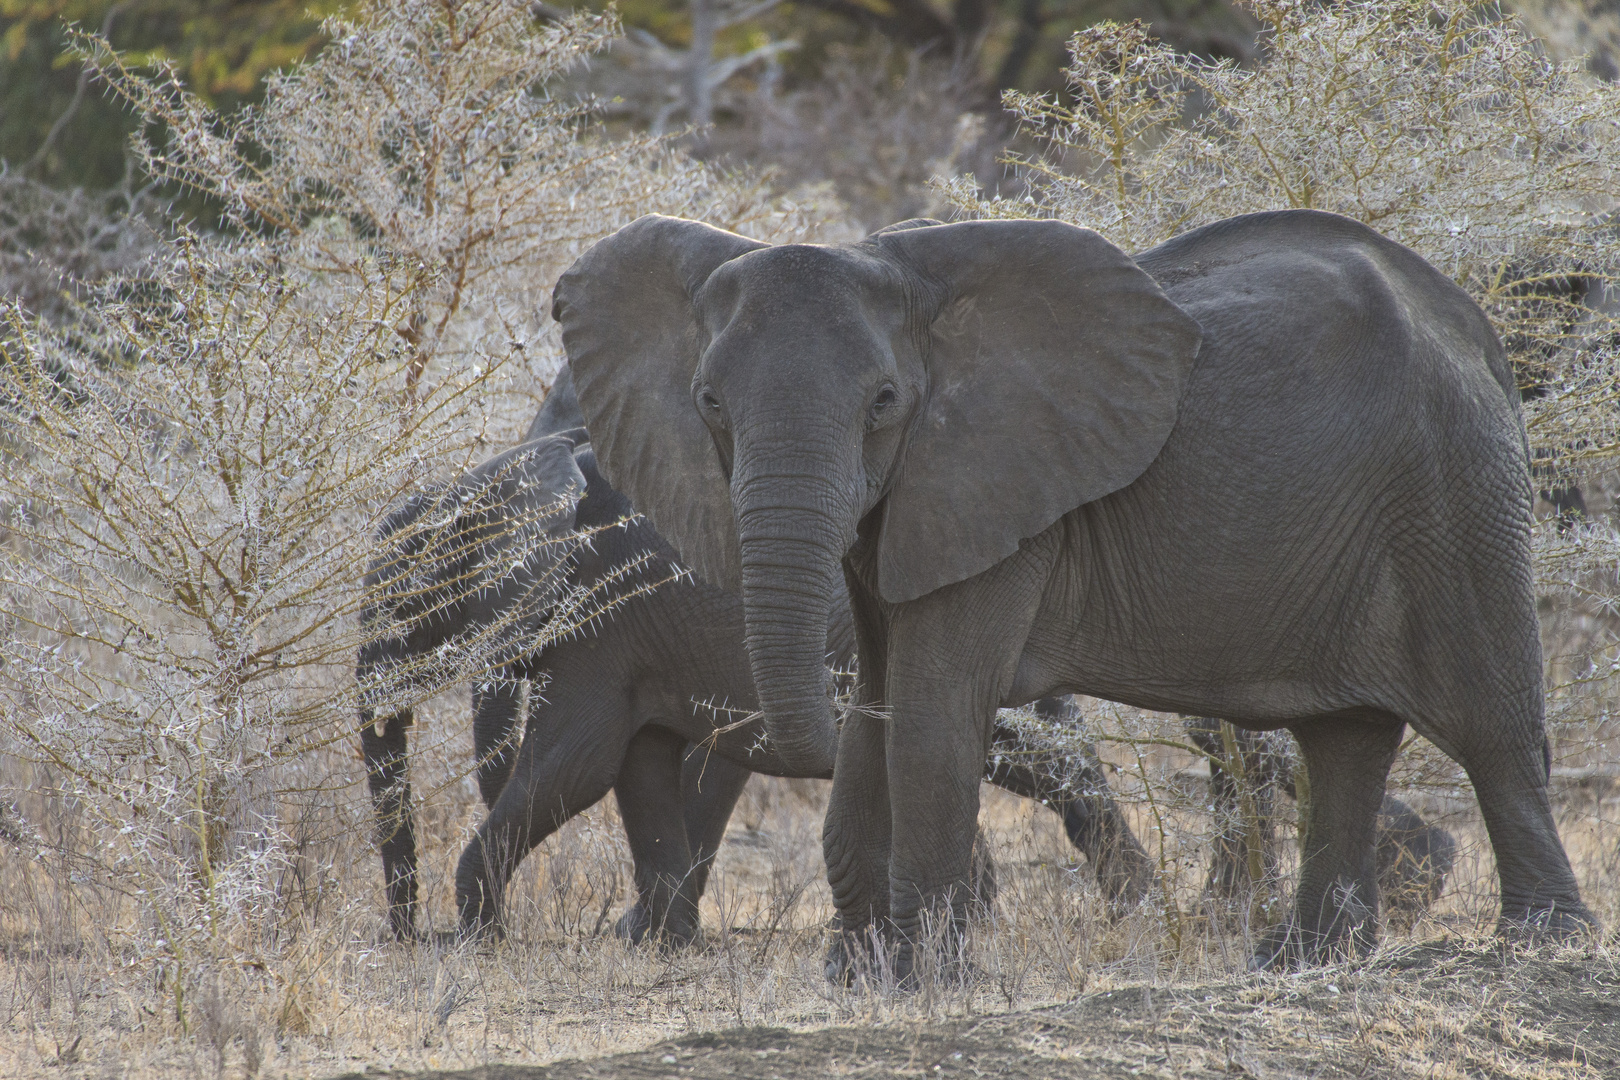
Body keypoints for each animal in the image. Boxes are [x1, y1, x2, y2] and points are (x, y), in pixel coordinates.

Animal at [557, 207, 1594, 977]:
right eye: (708, 404)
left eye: (885, 403)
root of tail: (1473, 323)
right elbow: (881, 708)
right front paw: (859, 977)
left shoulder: (1000, 495)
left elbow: (930, 712)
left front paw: (923, 981)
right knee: (1344, 738)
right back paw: (1302, 961)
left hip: (1453, 490)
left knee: (1491, 721)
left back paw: (1539, 944)